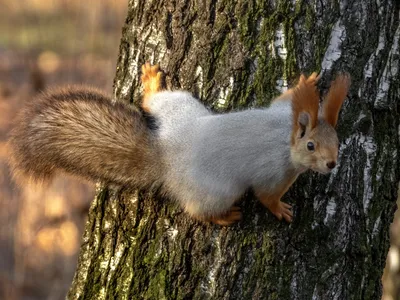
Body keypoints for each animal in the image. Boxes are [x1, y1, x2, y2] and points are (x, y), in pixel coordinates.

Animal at [7, 64, 350, 226]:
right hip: (215, 191)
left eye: (338, 141)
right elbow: (267, 196)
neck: (284, 137)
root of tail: (167, 155)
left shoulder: (281, 113)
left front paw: (307, 82)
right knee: (196, 211)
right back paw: (222, 217)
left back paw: (152, 84)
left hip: (181, 107)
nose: (333, 164)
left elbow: (284, 100)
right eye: (311, 147)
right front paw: (281, 209)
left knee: (154, 101)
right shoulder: (273, 172)